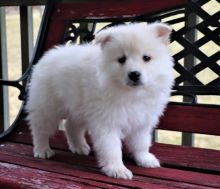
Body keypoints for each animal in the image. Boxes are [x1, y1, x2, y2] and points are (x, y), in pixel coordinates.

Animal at [26, 22, 174, 179]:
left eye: (146, 58)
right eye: (121, 59)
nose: (134, 74)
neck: (131, 93)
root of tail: (48, 55)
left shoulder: (142, 120)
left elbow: (141, 143)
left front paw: (145, 159)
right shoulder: (107, 122)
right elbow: (112, 148)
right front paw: (117, 169)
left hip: (79, 107)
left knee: (71, 125)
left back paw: (79, 146)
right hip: (48, 105)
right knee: (40, 128)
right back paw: (42, 150)